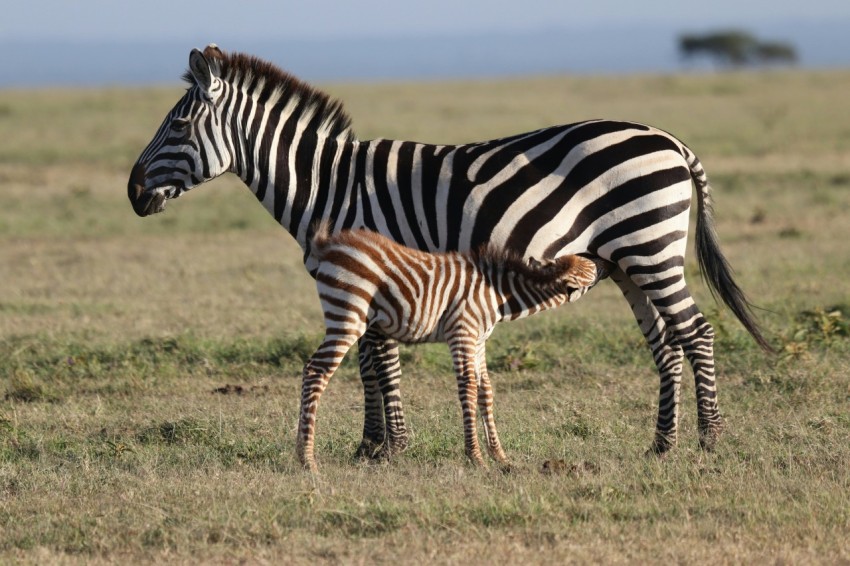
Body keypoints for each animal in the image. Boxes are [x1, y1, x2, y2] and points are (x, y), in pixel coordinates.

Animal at [298, 224, 604, 472]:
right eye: (592, 269)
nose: (603, 257)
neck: (498, 294)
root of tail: (330, 244)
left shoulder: (479, 340)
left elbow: (485, 389)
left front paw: (500, 456)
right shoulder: (463, 332)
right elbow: (468, 388)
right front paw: (476, 458)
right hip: (347, 316)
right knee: (315, 371)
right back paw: (307, 460)